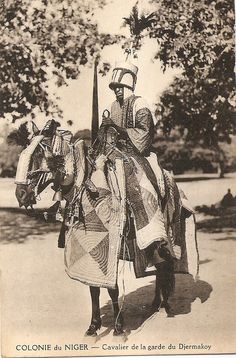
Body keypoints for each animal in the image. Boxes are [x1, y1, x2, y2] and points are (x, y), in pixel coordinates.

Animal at [13, 119, 196, 336]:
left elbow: (112, 289)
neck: (86, 184)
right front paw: (93, 325)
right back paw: (155, 304)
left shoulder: (111, 244)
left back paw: (165, 305)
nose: (20, 194)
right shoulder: (91, 252)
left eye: (39, 155)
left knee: (165, 266)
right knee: (161, 269)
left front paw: (118, 326)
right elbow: (93, 289)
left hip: (167, 237)